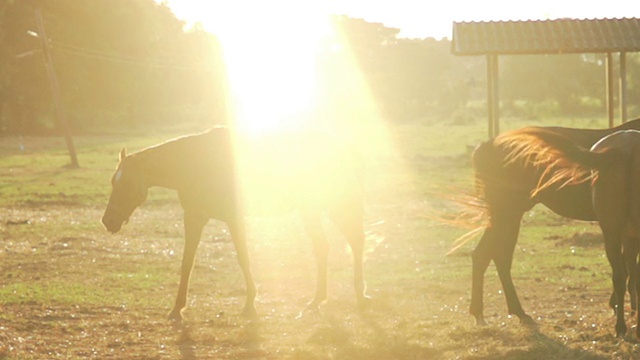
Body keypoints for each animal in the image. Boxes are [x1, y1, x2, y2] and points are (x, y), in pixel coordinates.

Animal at [101, 127, 370, 320]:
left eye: (126, 183)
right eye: (114, 181)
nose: (108, 221)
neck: (196, 165)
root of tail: (341, 146)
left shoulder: (233, 219)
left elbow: (243, 258)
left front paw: (250, 304)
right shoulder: (194, 218)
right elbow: (187, 262)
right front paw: (177, 309)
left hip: (334, 205)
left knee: (356, 242)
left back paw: (360, 294)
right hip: (310, 210)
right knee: (323, 248)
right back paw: (316, 301)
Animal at [464, 118, 640, 326]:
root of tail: (487, 145)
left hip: (510, 215)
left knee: (494, 256)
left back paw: (511, 311)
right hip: (506, 212)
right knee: (488, 255)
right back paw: (487, 313)